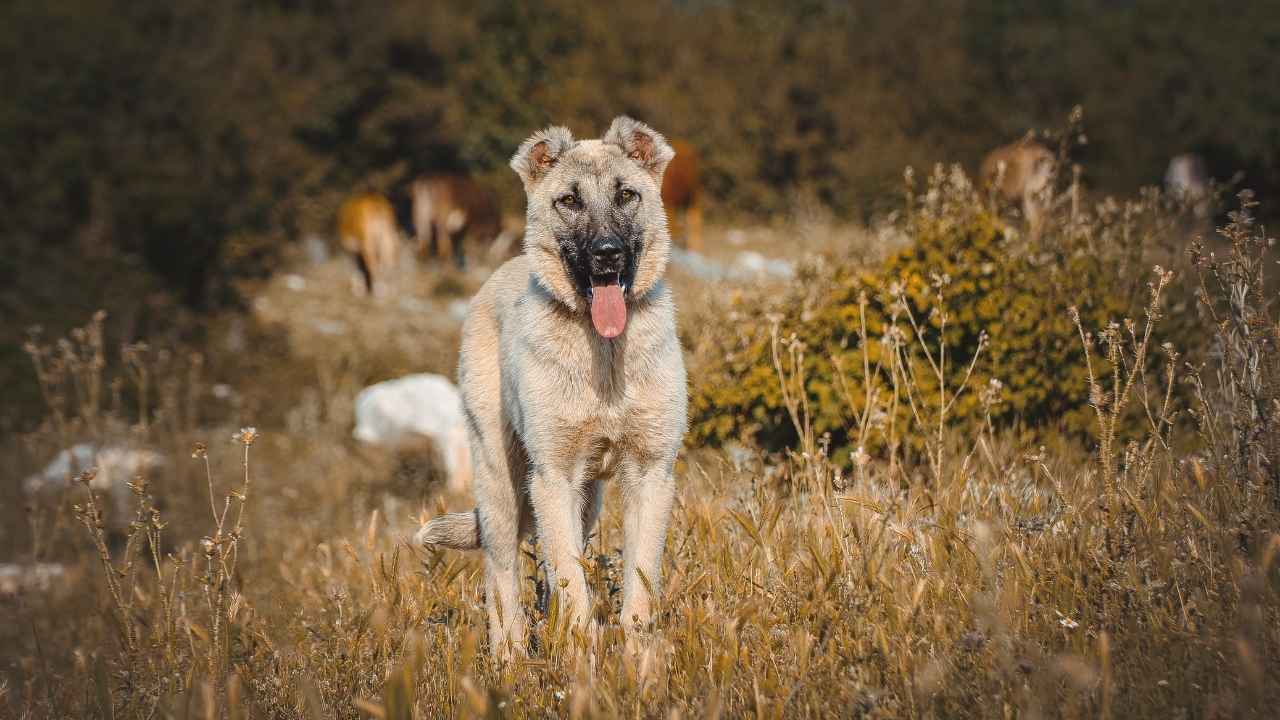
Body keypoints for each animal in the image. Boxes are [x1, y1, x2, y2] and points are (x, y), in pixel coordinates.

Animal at [414, 114, 686, 653]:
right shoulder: (553, 476)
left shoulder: (649, 473)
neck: (604, 357)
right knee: (501, 578)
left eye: (627, 195)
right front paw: (583, 659)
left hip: (587, 500)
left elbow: (638, 582)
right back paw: (511, 657)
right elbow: (571, 583)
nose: (607, 254)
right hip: (501, 482)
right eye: (569, 201)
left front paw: (639, 661)